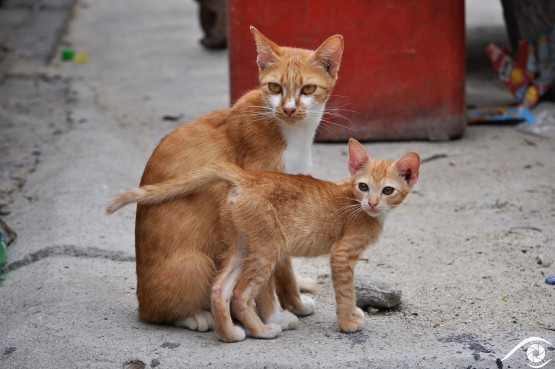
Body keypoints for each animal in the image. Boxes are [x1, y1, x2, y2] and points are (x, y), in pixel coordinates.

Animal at [107, 139, 422, 340]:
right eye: (364, 186)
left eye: (388, 190)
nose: (372, 203)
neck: (354, 203)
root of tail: (249, 177)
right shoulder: (342, 255)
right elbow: (346, 291)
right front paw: (348, 323)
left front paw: (353, 313)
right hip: (267, 248)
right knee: (240, 293)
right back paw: (261, 332)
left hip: (244, 246)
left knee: (219, 288)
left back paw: (230, 335)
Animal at [129, 25, 344, 330]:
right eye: (274, 88)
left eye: (309, 89)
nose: (289, 109)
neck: (292, 134)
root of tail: (141, 302)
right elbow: (265, 278)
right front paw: (273, 316)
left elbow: (284, 268)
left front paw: (296, 304)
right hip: (196, 263)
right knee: (158, 314)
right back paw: (197, 316)